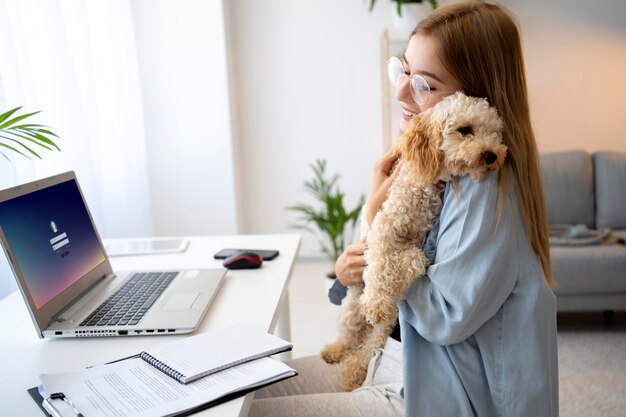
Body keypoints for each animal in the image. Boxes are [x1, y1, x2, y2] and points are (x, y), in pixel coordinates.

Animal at [320, 91, 504, 390]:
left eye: (495, 133)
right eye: (465, 130)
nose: (492, 155)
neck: (425, 184)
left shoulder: (413, 242)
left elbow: (414, 259)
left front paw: (394, 280)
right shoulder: (382, 228)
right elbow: (380, 265)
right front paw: (376, 301)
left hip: (383, 324)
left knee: (367, 347)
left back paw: (352, 372)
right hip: (351, 307)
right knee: (349, 335)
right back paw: (335, 351)